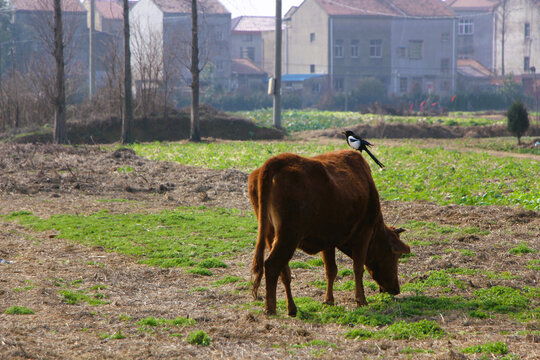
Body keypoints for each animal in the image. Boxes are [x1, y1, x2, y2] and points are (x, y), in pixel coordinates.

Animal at [249, 149, 410, 316]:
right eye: (396, 255)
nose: (396, 289)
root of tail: (276, 161)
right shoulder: (364, 233)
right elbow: (358, 268)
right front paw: (361, 300)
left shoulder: (327, 240)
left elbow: (331, 270)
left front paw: (329, 301)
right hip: (288, 236)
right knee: (272, 265)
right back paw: (270, 308)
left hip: (271, 236)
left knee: (283, 271)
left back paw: (291, 308)